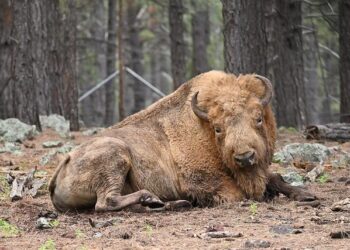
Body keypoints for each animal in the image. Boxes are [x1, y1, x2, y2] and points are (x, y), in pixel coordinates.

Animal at [48, 71, 314, 213]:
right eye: (218, 128)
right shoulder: (204, 181)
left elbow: (275, 177)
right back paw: (151, 198)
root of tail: (65, 162)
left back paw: (166, 203)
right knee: (105, 202)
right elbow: (239, 194)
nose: (245, 157)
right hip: (116, 154)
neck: (203, 128)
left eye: (258, 118)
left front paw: (306, 195)